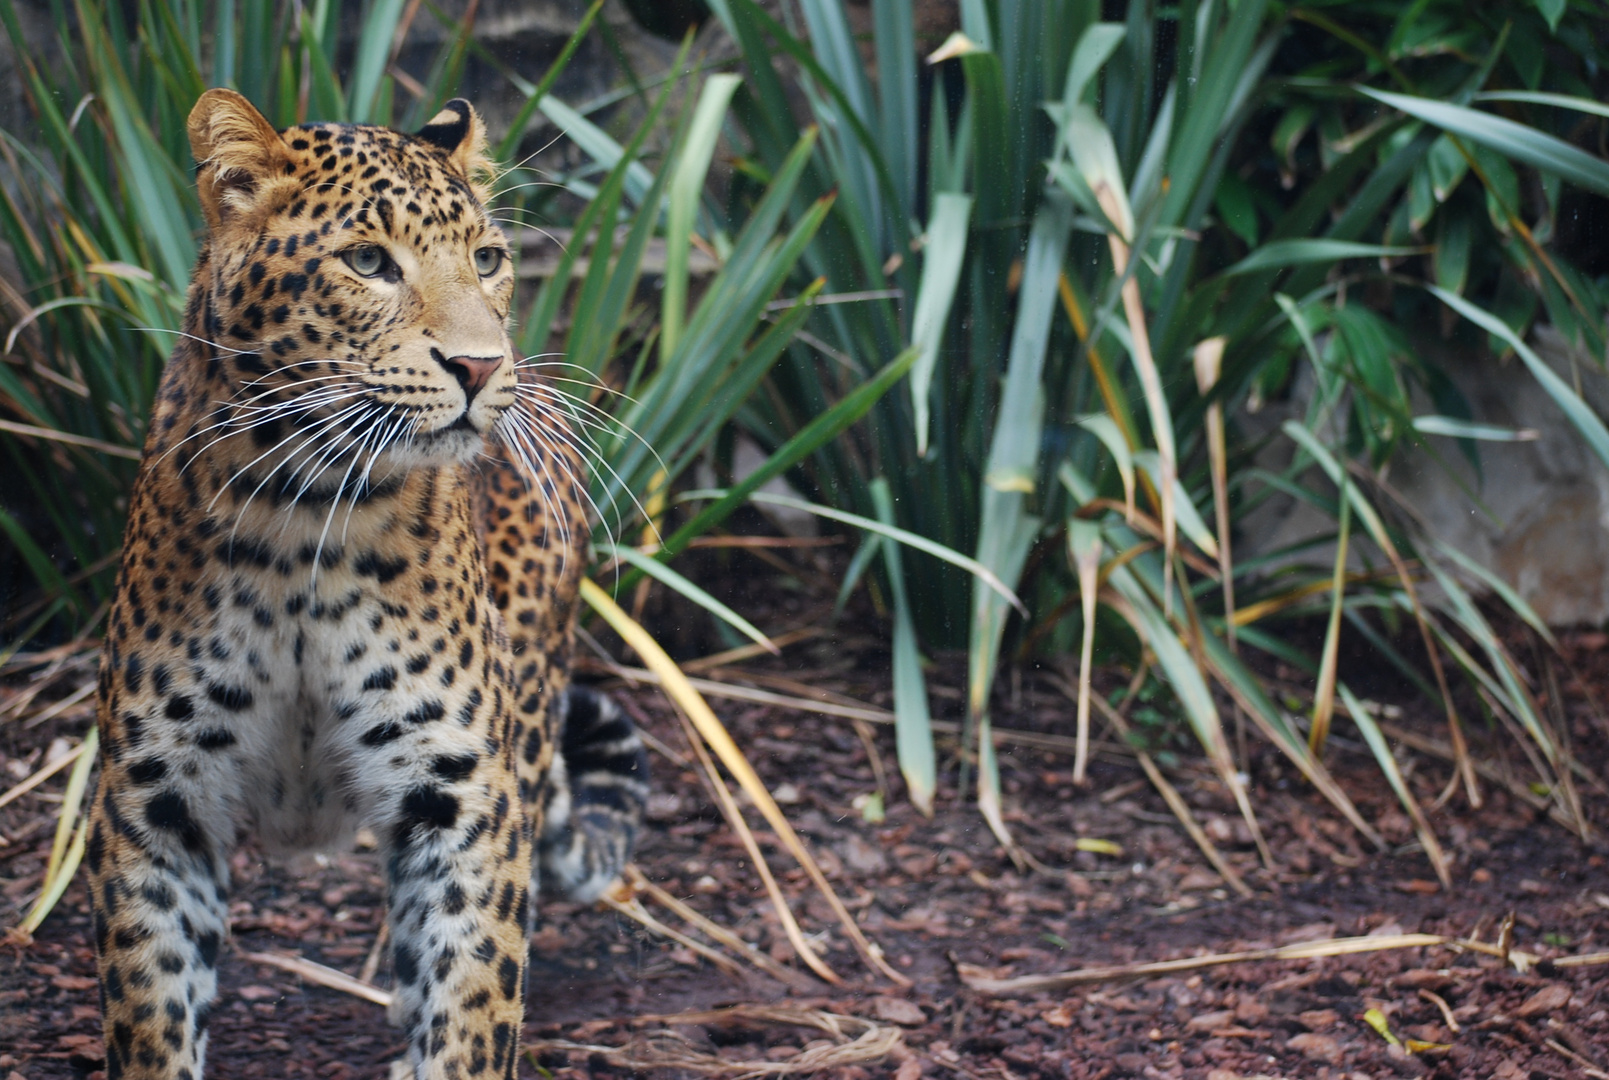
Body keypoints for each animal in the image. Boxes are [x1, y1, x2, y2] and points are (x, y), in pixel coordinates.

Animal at [86, 86, 646, 1080]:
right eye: (368, 262)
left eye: (487, 260)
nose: (481, 366)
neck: (302, 520)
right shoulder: (156, 804)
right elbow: (151, 1013)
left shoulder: (463, 796)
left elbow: (471, 1003)